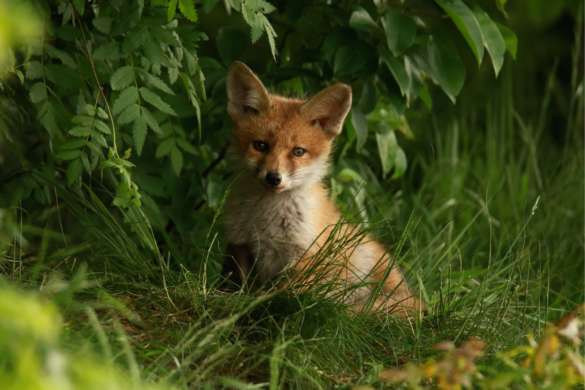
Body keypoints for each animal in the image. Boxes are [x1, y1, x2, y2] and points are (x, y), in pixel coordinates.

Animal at [220, 61, 420, 316]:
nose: (274, 178)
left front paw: (262, 304)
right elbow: (242, 287)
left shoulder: (306, 254)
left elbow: (282, 294)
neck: (266, 222)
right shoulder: (241, 245)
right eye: (260, 145)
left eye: (298, 151)